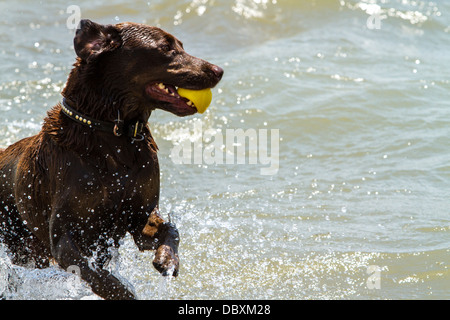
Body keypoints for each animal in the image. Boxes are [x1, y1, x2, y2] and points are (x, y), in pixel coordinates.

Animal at [0, 19, 223, 300]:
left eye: (181, 45)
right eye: (166, 48)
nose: (219, 70)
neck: (115, 135)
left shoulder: (139, 215)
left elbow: (170, 229)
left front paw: (167, 259)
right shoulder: (63, 235)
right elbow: (91, 271)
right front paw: (122, 291)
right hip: (23, 245)